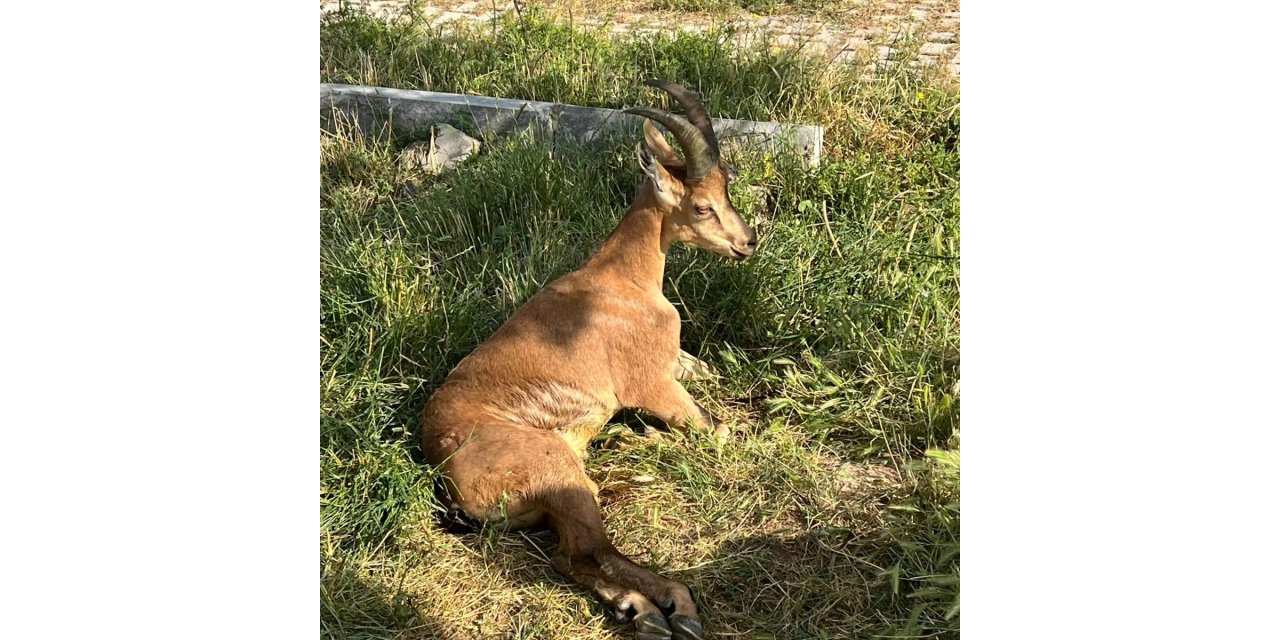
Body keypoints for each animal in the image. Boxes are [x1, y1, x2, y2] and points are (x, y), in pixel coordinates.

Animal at [424, 80, 752, 640]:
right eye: (703, 206)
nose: (746, 243)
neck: (623, 280)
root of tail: (443, 471)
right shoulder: (653, 385)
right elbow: (719, 431)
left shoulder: (677, 363)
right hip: (560, 476)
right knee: (582, 551)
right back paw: (667, 609)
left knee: (572, 556)